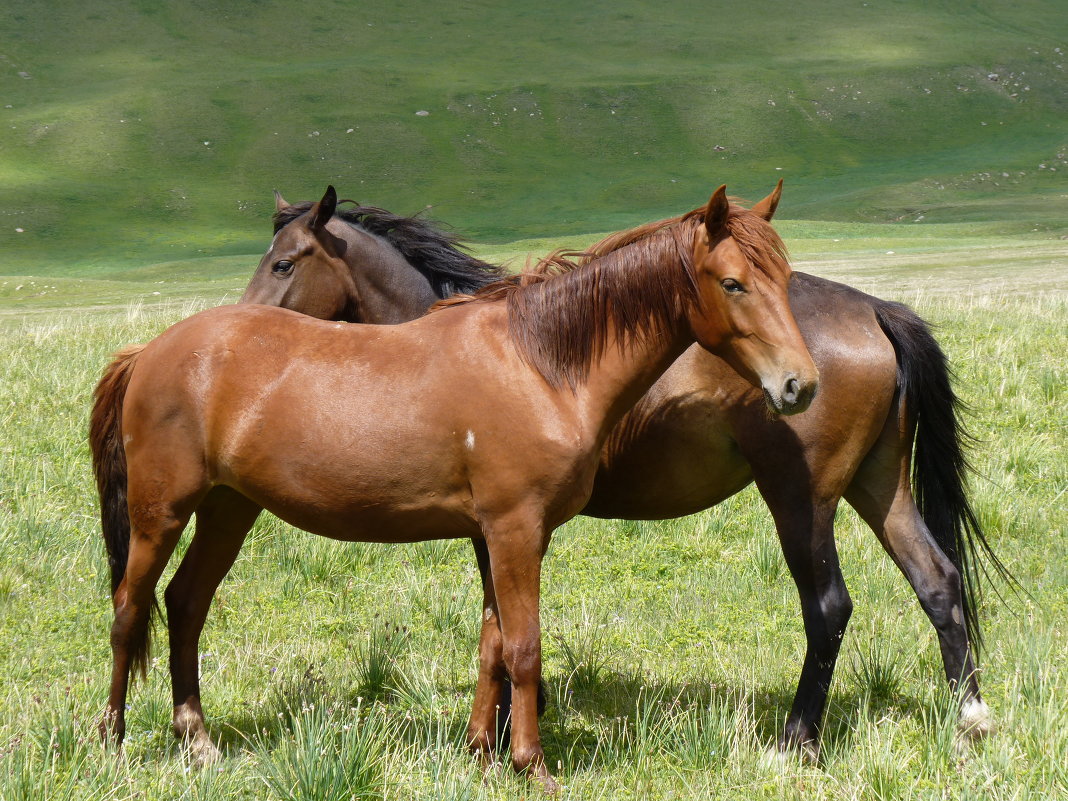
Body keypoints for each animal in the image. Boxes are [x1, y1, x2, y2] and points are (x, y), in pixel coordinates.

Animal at [91, 183, 815, 790]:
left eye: (783, 280)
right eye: (733, 282)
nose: (798, 385)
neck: (540, 363)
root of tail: (148, 352)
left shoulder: (504, 536)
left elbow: (493, 644)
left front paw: (486, 754)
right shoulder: (513, 530)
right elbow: (523, 648)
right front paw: (532, 765)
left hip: (228, 509)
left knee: (185, 604)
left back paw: (198, 742)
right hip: (162, 512)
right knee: (130, 608)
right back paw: (113, 741)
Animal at [242, 181, 1008, 760]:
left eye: (282, 264)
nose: (241, 328)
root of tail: (876, 309)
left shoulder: (502, 524)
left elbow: (503, 631)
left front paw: (507, 734)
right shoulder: (497, 526)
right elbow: (500, 629)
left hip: (803, 499)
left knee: (828, 608)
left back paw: (797, 738)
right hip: (879, 487)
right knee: (938, 583)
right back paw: (968, 721)